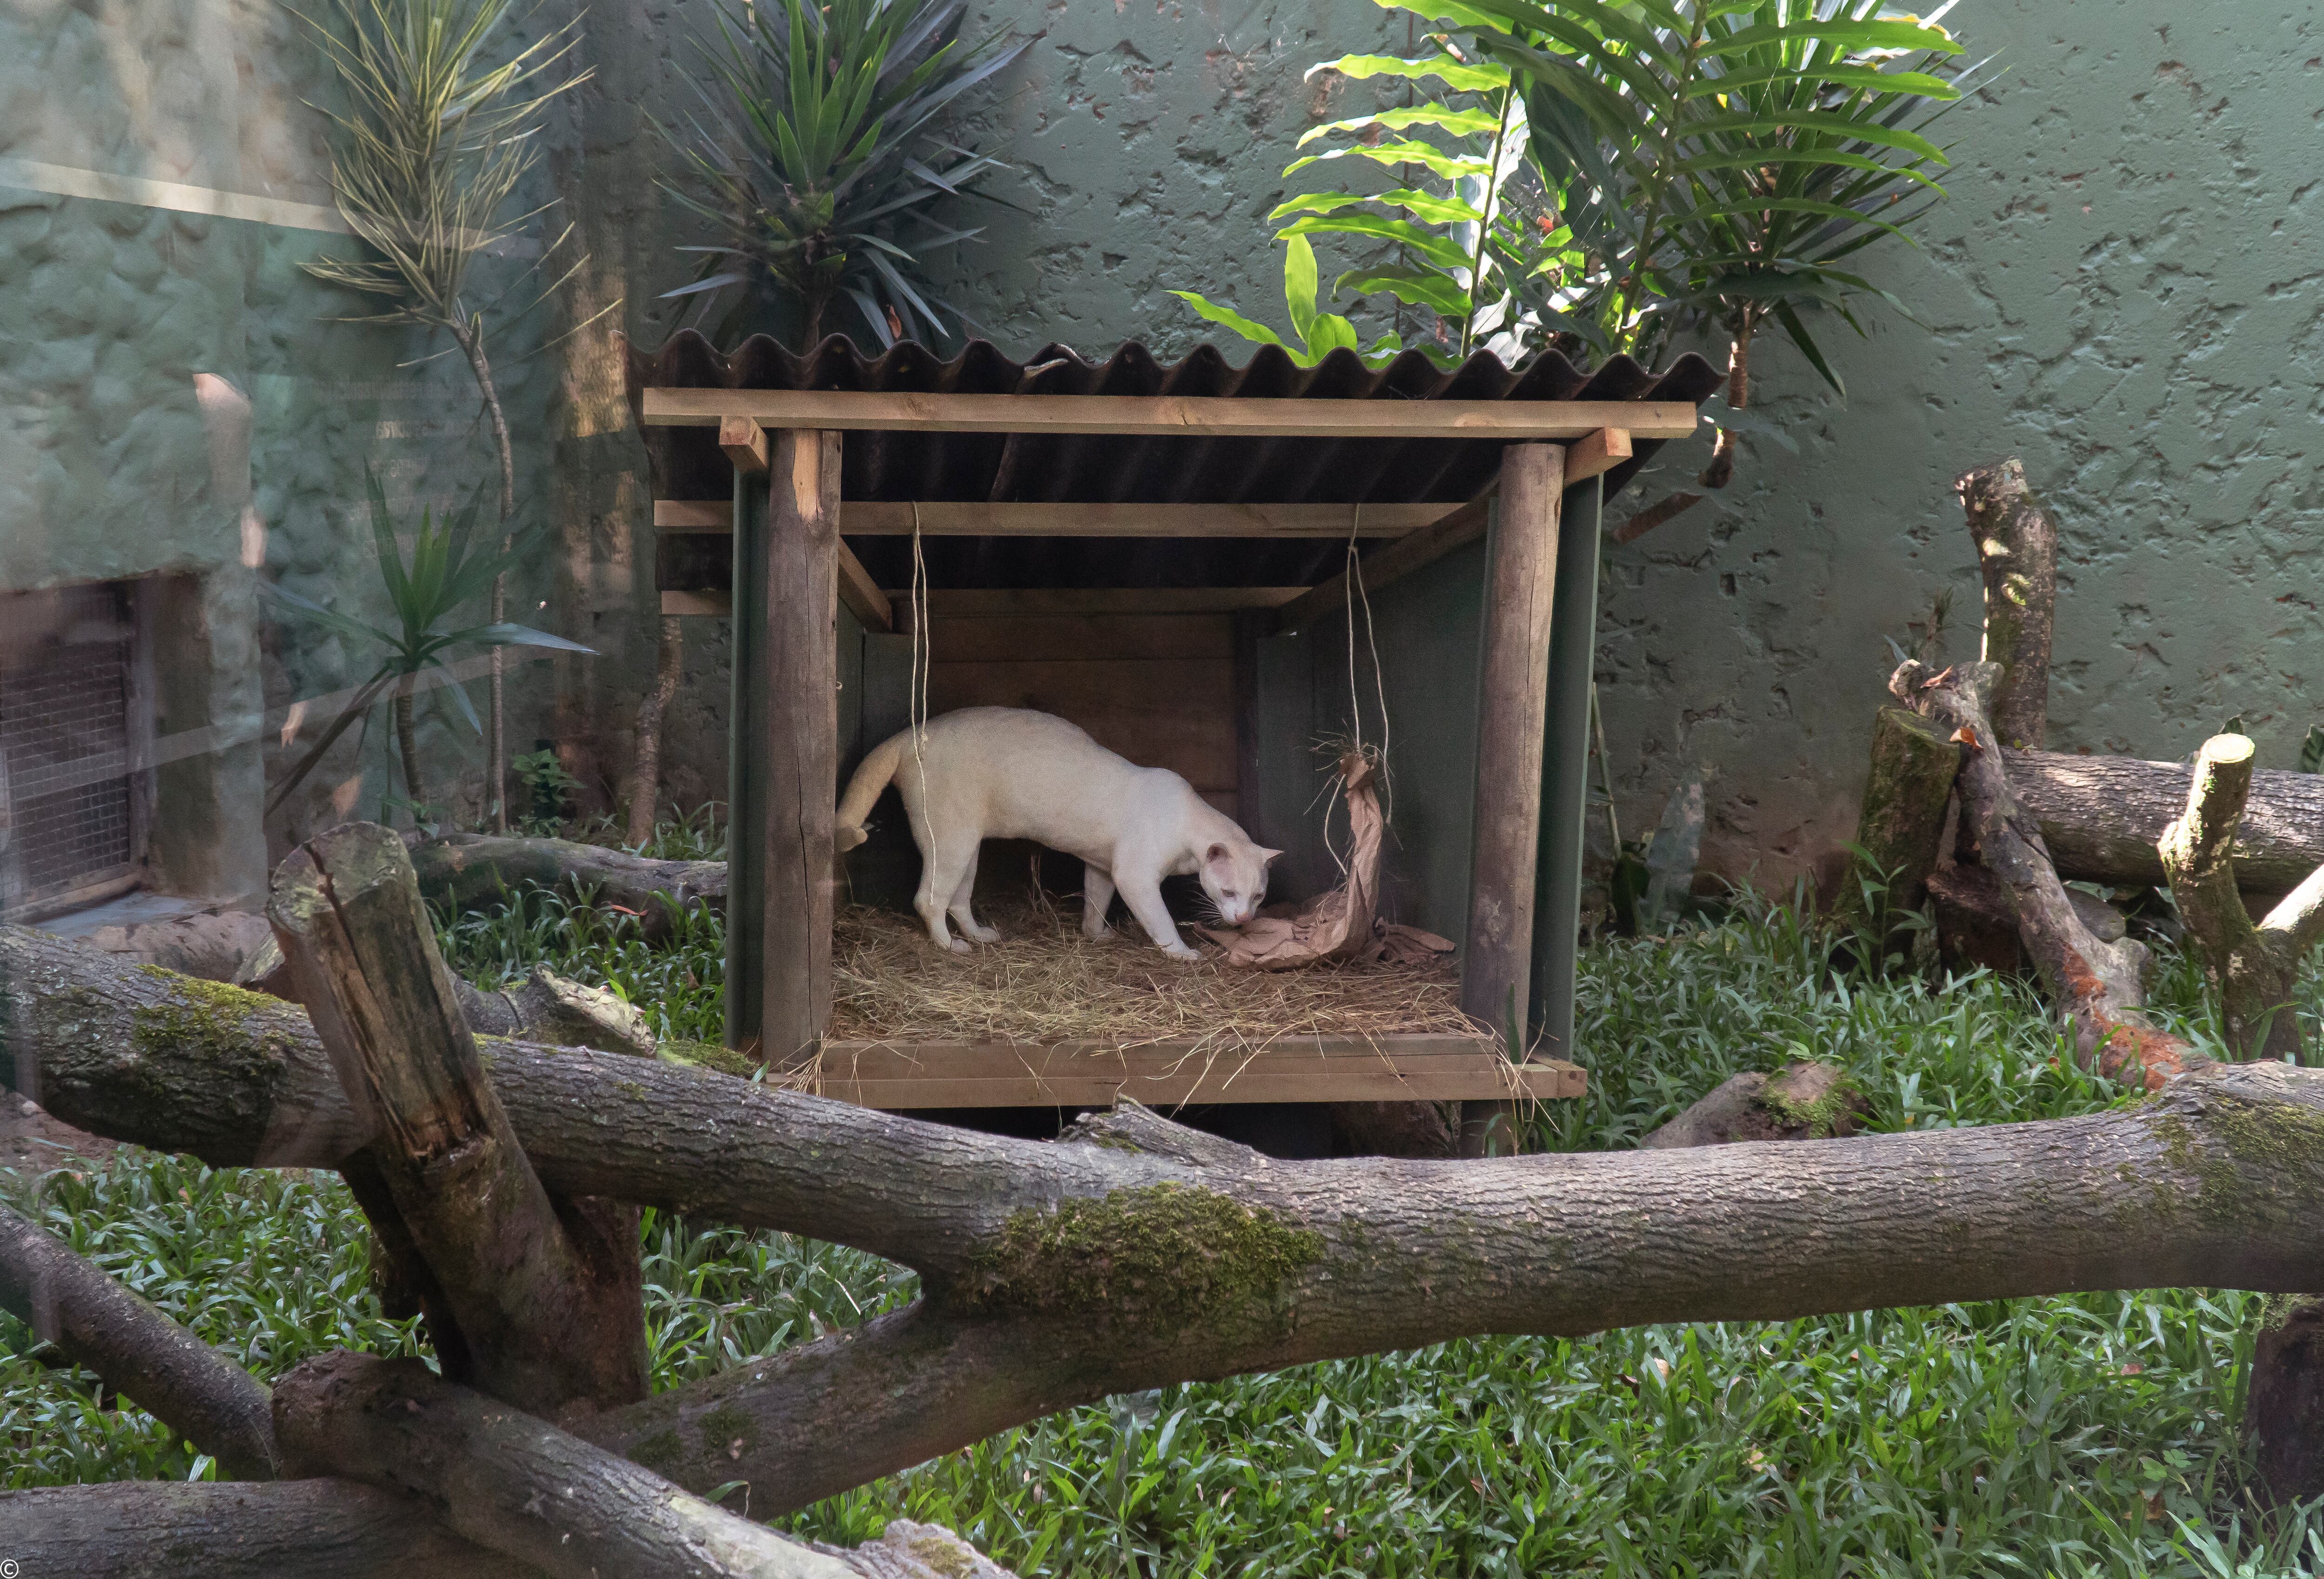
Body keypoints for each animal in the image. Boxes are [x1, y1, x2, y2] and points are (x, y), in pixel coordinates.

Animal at [837, 707, 1283, 963]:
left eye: (1259, 896)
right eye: (1229, 893)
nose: (1245, 918)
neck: (1187, 819)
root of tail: (906, 735)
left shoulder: (1103, 867)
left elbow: (1095, 905)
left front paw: (1096, 936)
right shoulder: (1135, 877)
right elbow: (1162, 923)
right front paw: (1185, 954)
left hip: (966, 846)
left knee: (958, 900)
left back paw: (981, 936)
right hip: (950, 841)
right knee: (928, 900)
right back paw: (951, 948)